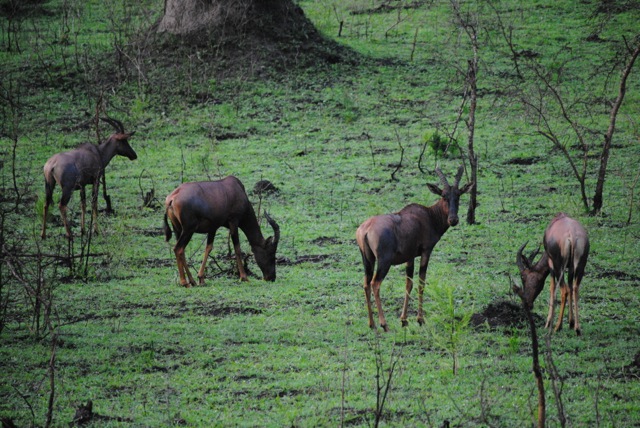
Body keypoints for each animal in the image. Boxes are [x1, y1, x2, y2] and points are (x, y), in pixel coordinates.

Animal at [358, 166, 472, 332]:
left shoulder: (409, 256)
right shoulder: (426, 251)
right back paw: (384, 324)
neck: (428, 215)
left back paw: (371, 324)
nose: (453, 220)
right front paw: (420, 319)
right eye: (443, 195)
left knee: (366, 284)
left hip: (367, 260)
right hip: (384, 261)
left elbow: (408, 284)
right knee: (375, 284)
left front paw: (404, 320)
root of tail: (366, 228)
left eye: (458, 195)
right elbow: (421, 283)